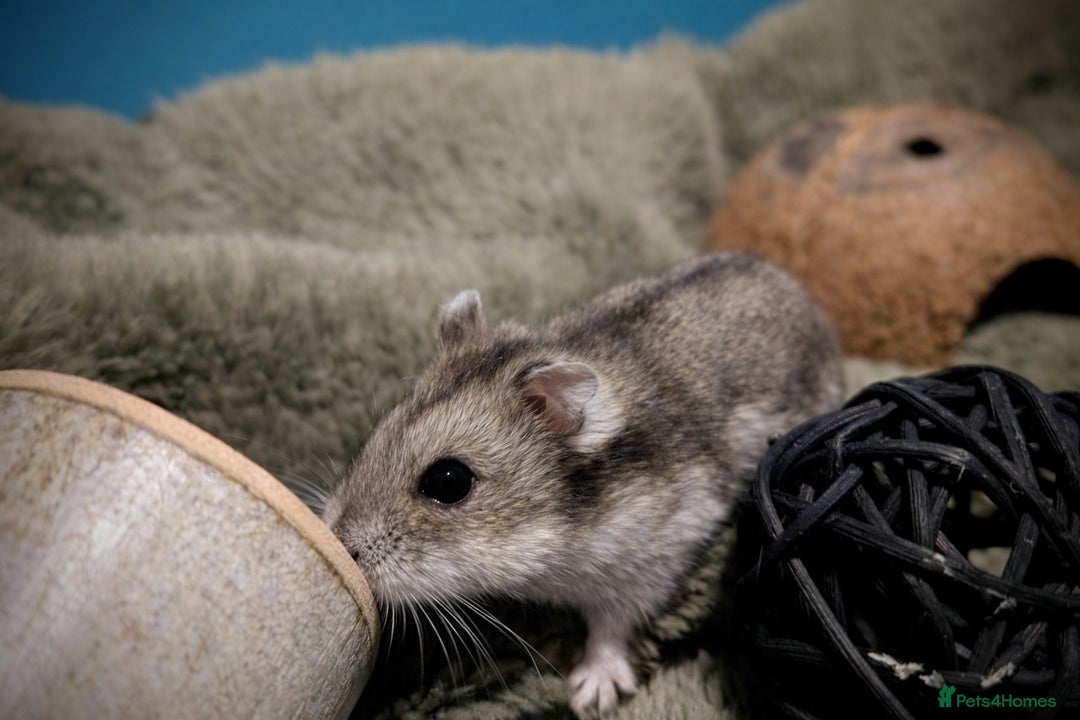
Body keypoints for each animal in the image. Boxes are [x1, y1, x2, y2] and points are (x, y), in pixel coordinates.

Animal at [322, 251, 844, 714]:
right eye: (379, 429)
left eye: (448, 481)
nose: (341, 543)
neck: (562, 523)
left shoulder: (647, 561)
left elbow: (612, 626)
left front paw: (591, 693)